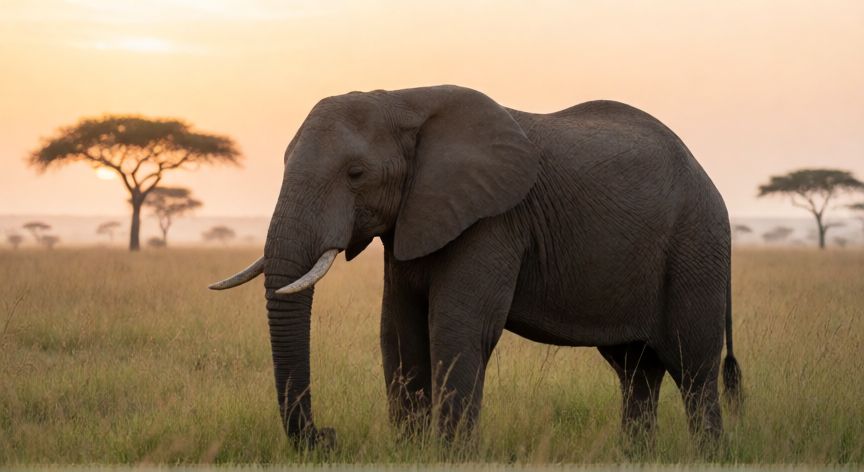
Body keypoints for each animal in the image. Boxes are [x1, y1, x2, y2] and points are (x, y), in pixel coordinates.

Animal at [210, 85, 742, 448]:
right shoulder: (414, 217)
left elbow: (458, 326)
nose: (327, 436)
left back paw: (707, 454)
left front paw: (448, 454)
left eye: (356, 174)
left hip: (696, 244)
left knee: (693, 367)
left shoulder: (495, 219)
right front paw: (409, 450)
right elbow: (398, 329)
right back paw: (634, 455)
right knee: (636, 371)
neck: (403, 100)